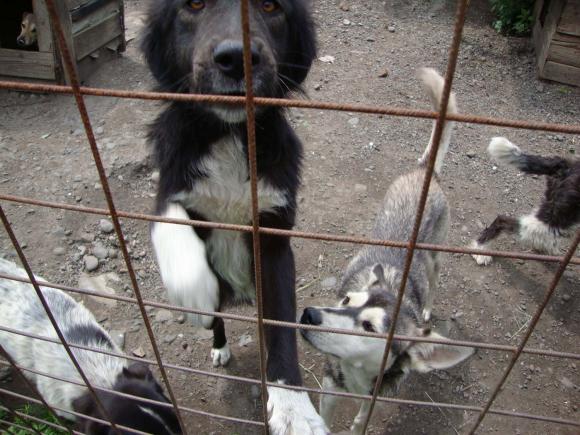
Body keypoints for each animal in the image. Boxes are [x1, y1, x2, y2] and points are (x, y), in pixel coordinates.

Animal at [139, 1, 324, 434]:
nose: (236, 58)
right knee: (218, 319)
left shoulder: (274, 236)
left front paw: (294, 408)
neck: (228, 135)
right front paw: (193, 292)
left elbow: (280, 324)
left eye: (271, 7)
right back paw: (219, 343)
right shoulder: (168, 188)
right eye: (193, 5)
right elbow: (170, 222)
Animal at [302, 70, 474, 434]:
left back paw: (428, 309)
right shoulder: (330, 386)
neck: (356, 375)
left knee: (434, 279)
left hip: (435, 255)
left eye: (369, 327)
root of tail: (425, 171)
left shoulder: (376, 396)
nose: (308, 314)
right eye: (346, 300)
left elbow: (360, 420)